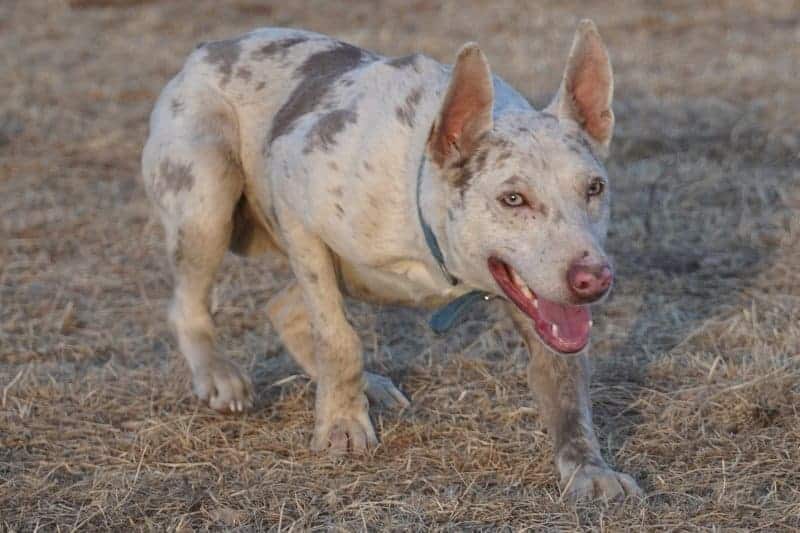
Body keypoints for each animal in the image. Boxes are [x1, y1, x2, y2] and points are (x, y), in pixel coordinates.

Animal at [142, 18, 644, 500]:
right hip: (207, 198)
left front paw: (590, 469)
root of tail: (210, 48)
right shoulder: (296, 207)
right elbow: (339, 338)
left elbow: (566, 385)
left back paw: (369, 386)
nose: (594, 279)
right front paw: (342, 426)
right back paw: (218, 375)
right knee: (189, 304)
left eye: (594, 188)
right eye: (513, 199)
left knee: (282, 306)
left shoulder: (550, 317)